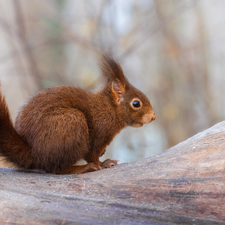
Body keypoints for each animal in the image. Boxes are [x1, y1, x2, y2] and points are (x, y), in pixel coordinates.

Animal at [0, 55, 156, 175]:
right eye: (136, 103)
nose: (153, 117)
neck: (108, 108)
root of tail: (32, 153)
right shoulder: (98, 133)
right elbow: (92, 154)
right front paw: (104, 163)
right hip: (72, 123)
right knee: (55, 169)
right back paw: (83, 168)